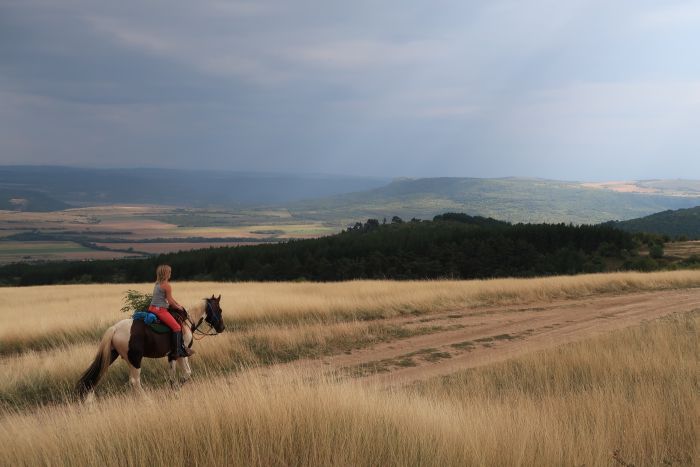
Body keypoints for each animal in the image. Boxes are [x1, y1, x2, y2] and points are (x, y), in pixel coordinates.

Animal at [76, 296, 224, 398]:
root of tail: (115, 328)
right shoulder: (180, 354)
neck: (186, 322)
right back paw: (147, 400)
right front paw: (176, 390)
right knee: (134, 381)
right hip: (135, 359)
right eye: (219, 310)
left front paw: (173, 391)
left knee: (96, 376)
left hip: (112, 355)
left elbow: (173, 375)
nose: (222, 328)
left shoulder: (173, 356)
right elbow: (186, 373)